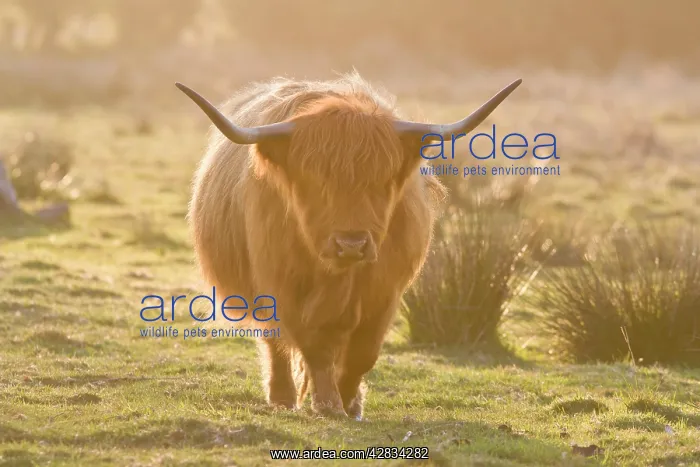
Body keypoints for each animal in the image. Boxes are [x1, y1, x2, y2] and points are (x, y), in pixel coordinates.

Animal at [176, 72, 521, 419]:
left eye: (382, 179)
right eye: (315, 180)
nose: (351, 245)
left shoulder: (385, 293)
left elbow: (363, 353)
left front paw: (348, 401)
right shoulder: (285, 289)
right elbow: (314, 347)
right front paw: (328, 403)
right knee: (276, 344)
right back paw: (283, 396)